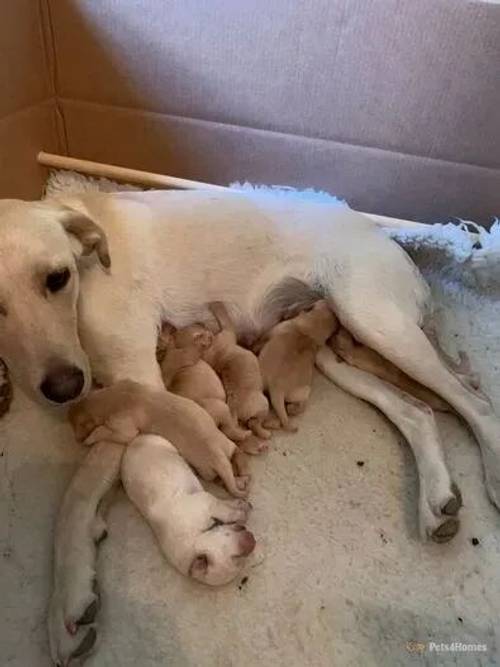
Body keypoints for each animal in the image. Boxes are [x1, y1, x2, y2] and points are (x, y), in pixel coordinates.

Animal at [69, 378, 249, 498]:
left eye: (76, 426)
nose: (77, 440)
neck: (111, 398)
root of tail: (217, 455)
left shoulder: (124, 428)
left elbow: (109, 432)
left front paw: (91, 437)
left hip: (205, 464)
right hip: (219, 428)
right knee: (233, 437)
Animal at [120, 434, 254, 584]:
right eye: (237, 558)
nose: (252, 539)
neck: (197, 536)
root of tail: (133, 442)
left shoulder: (206, 501)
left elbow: (224, 506)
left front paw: (240, 505)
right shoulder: (209, 503)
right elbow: (228, 510)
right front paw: (242, 511)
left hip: (165, 444)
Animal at [204, 302, 272, 438]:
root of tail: (235, 408)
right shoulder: (228, 331)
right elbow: (224, 317)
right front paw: (216, 304)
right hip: (263, 404)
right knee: (254, 423)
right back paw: (265, 433)